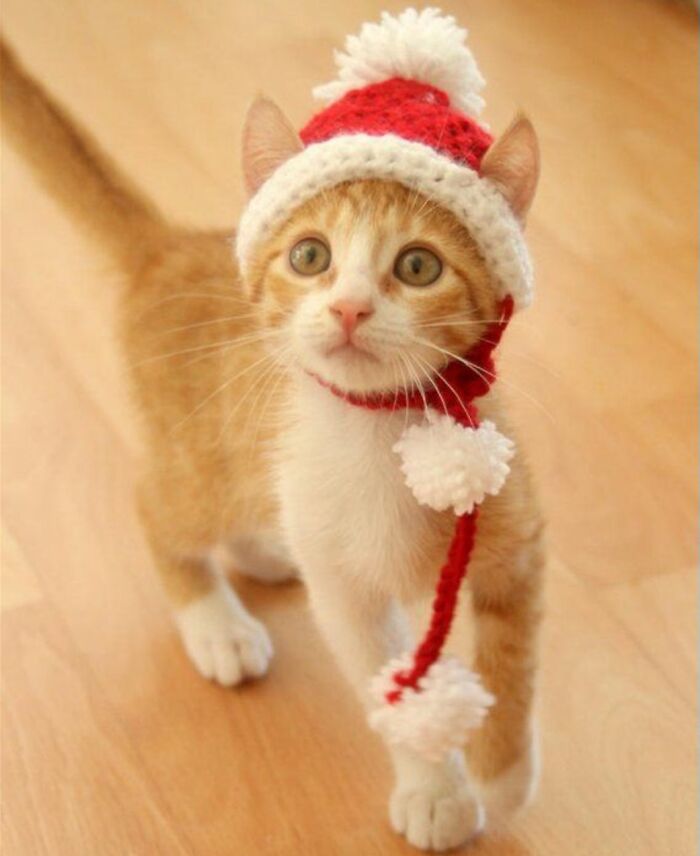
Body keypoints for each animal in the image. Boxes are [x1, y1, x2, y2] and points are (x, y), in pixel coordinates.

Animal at [2, 23, 544, 852]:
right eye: (310, 256)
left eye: (419, 265)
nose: (350, 308)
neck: (383, 427)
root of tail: (172, 250)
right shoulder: (349, 594)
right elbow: (389, 686)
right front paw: (437, 788)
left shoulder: (515, 536)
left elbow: (513, 656)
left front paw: (502, 769)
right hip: (203, 468)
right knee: (155, 507)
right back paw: (216, 624)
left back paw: (263, 553)